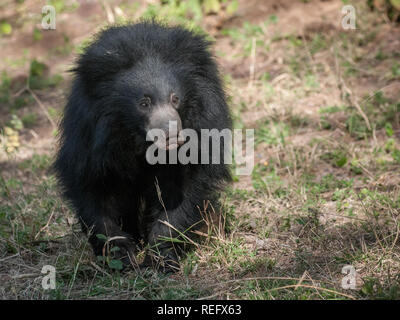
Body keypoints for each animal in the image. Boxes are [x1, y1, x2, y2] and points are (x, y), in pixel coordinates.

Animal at [54, 20, 233, 272]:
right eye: (144, 103)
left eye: (175, 98)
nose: (172, 135)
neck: (139, 141)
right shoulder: (92, 141)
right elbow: (93, 188)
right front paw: (120, 256)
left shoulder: (202, 128)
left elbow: (180, 192)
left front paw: (161, 256)